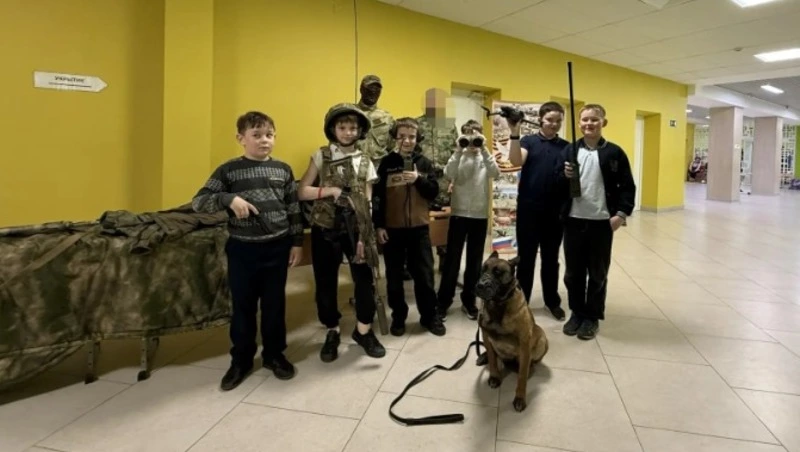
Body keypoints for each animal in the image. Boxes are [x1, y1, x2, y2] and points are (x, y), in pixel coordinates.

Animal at [475, 251, 548, 412]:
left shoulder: (525, 345)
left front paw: (520, 398)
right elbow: (492, 360)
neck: (498, 305)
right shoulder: (486, 335)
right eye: (483, 269)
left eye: (498, 272)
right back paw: (483, 357)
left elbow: (521, 377)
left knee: (530, 363)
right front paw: (494, 376)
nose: (480, 285)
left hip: (542, 337)